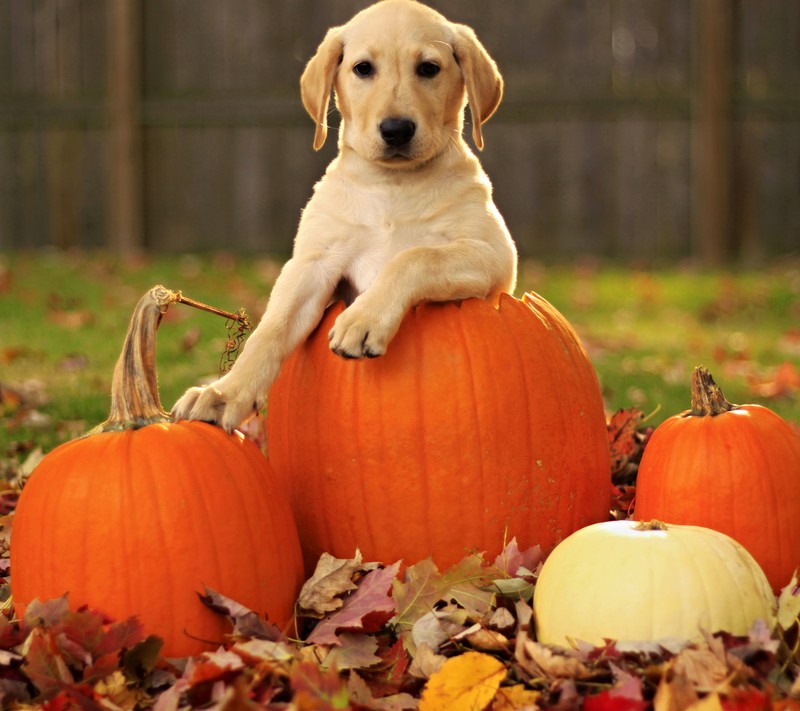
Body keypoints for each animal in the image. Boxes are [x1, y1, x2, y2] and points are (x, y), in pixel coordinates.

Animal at [172, 0, 516, 432]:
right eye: (363, 68)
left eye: (429, 68)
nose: (396, 130)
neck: (393, 186)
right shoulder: (313, 264)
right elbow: (272, 328)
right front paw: (224, 393)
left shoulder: (493, 255)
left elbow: (415, 256)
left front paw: (362, 319)